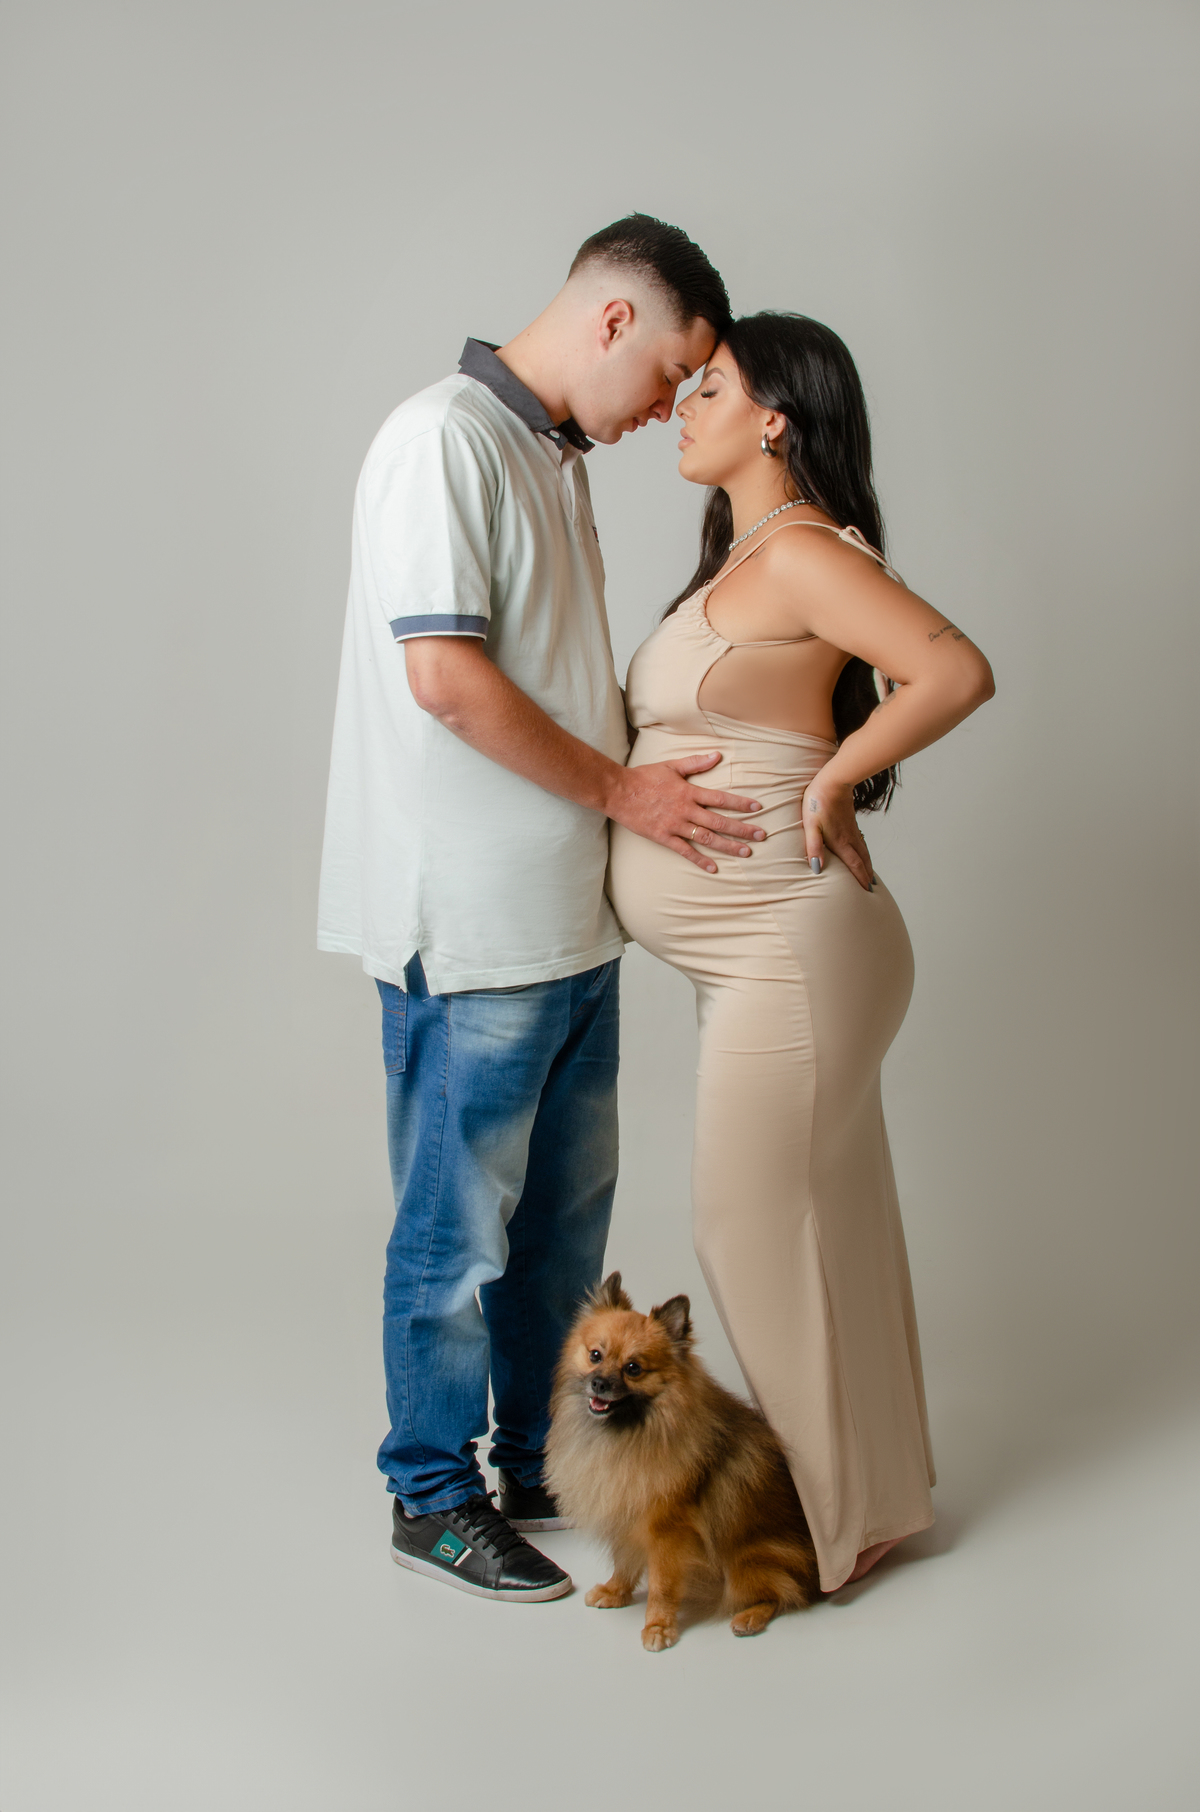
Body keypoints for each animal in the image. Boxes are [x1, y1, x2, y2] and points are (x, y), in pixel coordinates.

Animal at [544, 1272, 819, 1650]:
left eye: (633, 1369)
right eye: (595, 1355)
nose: (599, 1383)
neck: (629, 1434)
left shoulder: (668, 1530)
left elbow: (662, 1585)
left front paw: (658, 1626)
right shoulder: (627, 1509)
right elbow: (624, 1561)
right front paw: (616, 1592)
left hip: (747, 1561)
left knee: (783, 1594)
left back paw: (748, 1618)